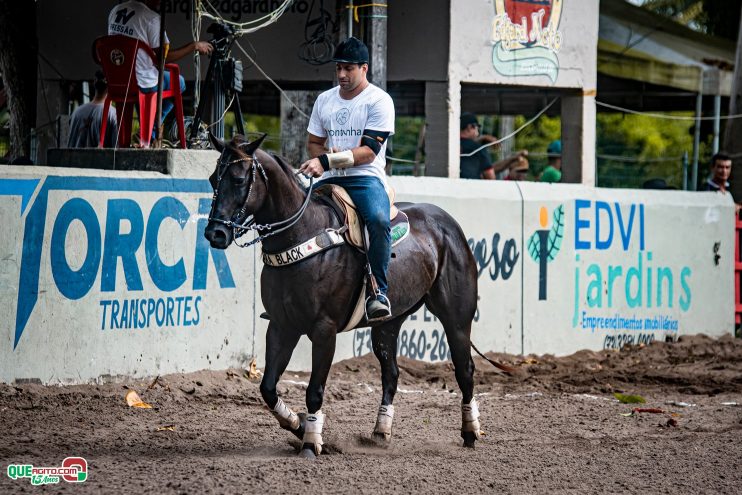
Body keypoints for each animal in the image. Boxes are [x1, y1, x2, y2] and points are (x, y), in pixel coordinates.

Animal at [203, 135, 482, 458]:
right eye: (213, 179)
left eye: (238, 179)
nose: (215, 233)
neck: (302, 234)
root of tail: (448, 224)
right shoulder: (281, 326)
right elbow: (268, 387)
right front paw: (298, 425)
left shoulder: (324, 329)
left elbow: (314, 390)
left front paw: (311, 442)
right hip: (387, 324)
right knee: (391, 373)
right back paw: (380, 433)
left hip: (456, 318)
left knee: (465, 369)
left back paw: (471, 431)